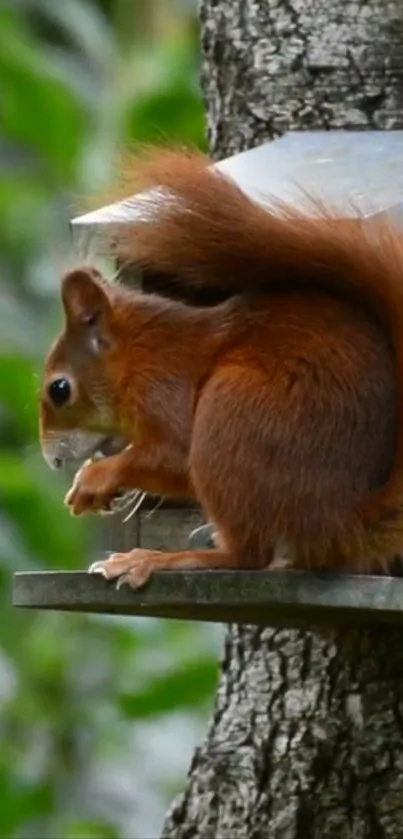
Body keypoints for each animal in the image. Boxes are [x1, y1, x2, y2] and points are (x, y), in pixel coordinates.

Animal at [38, 148, 403, 588]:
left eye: (59, 389)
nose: (52, 460)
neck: (139, 355)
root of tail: (342, 520)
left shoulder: (164, 387)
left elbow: (173, 456)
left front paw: (95, 479)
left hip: (230, 417)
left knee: (247, 555)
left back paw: (159, 558)